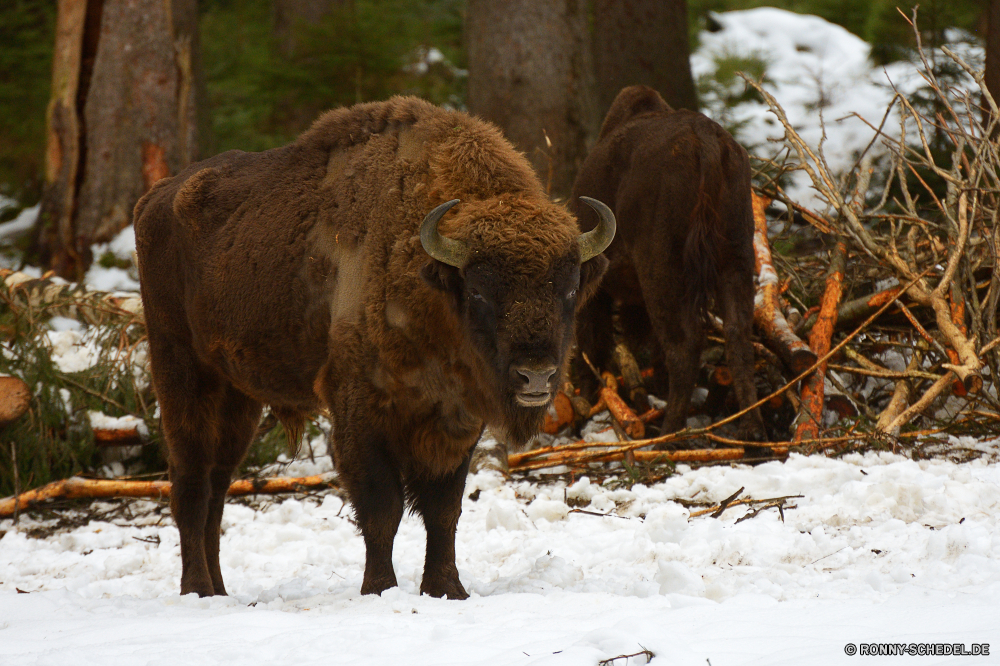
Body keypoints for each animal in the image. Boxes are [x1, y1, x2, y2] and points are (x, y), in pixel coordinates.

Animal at [134, 96, 612, 600]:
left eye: (569, 288)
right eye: (480, 291)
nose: (535, 375)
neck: (432, 280)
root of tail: (155, 199)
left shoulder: (454, 420)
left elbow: (444, 511)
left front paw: (448, 588)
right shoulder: (363, 412)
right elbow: (383, 509)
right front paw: (380, 588)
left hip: (237, 396)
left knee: (218, 485)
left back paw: (220, 590)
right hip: (181, 370)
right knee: (191, 483)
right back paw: (197, 589)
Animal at [572, 87, 764, 440]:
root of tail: (705, 140)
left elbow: (592, 343)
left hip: (662, 265)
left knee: (684, 345)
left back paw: (669, 435)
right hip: (736, 255)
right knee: (737, 335)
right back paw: (752, 429)